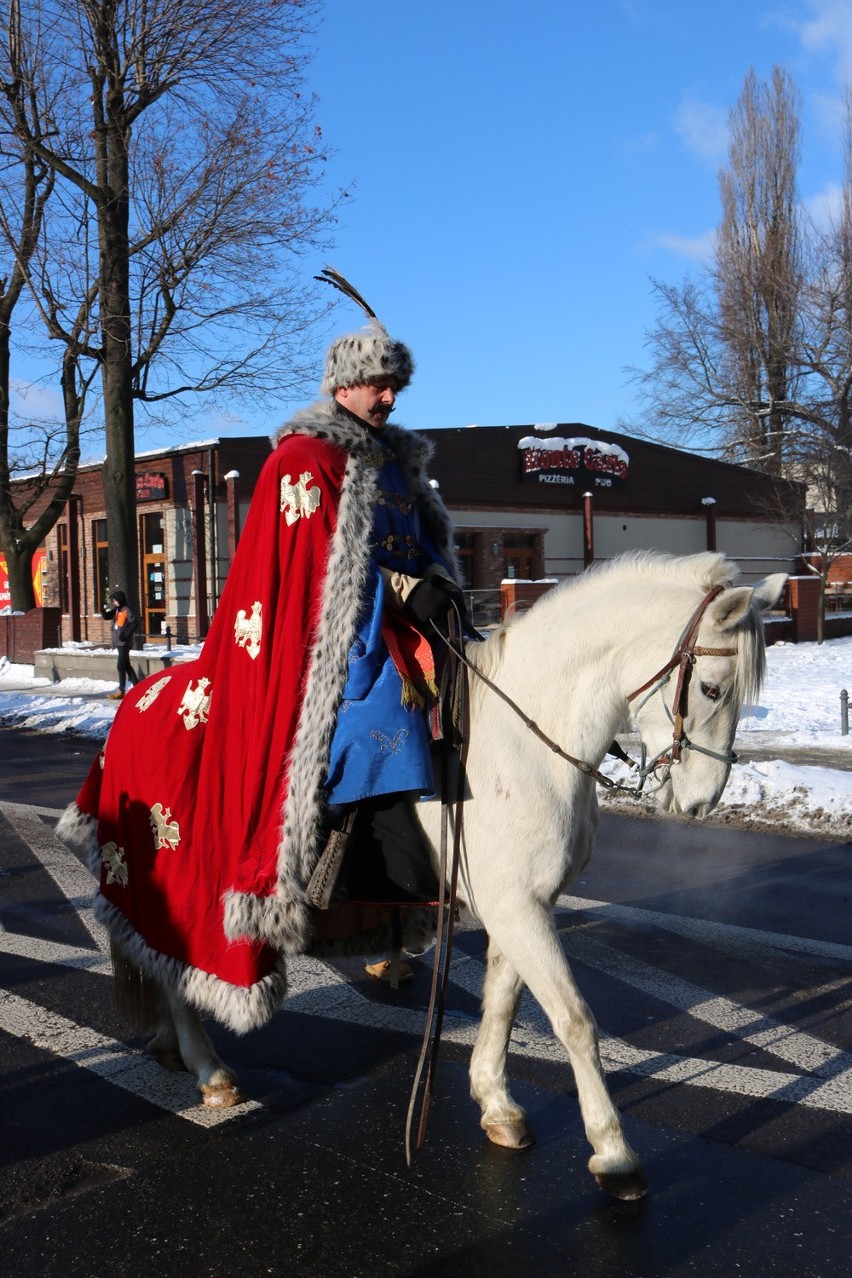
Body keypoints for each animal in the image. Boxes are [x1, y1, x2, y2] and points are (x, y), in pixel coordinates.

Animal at [103, 549, 781, 1196]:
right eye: (712, 689)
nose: (699, 802)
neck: (525, 738)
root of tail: (139, 697)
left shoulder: (524, 904)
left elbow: (503, 1005)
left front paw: (497, 1104)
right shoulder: (518, 909)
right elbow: (574, 1020)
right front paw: (614, 1154)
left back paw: (170, 1046)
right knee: (177, 969)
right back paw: (209, 1069)